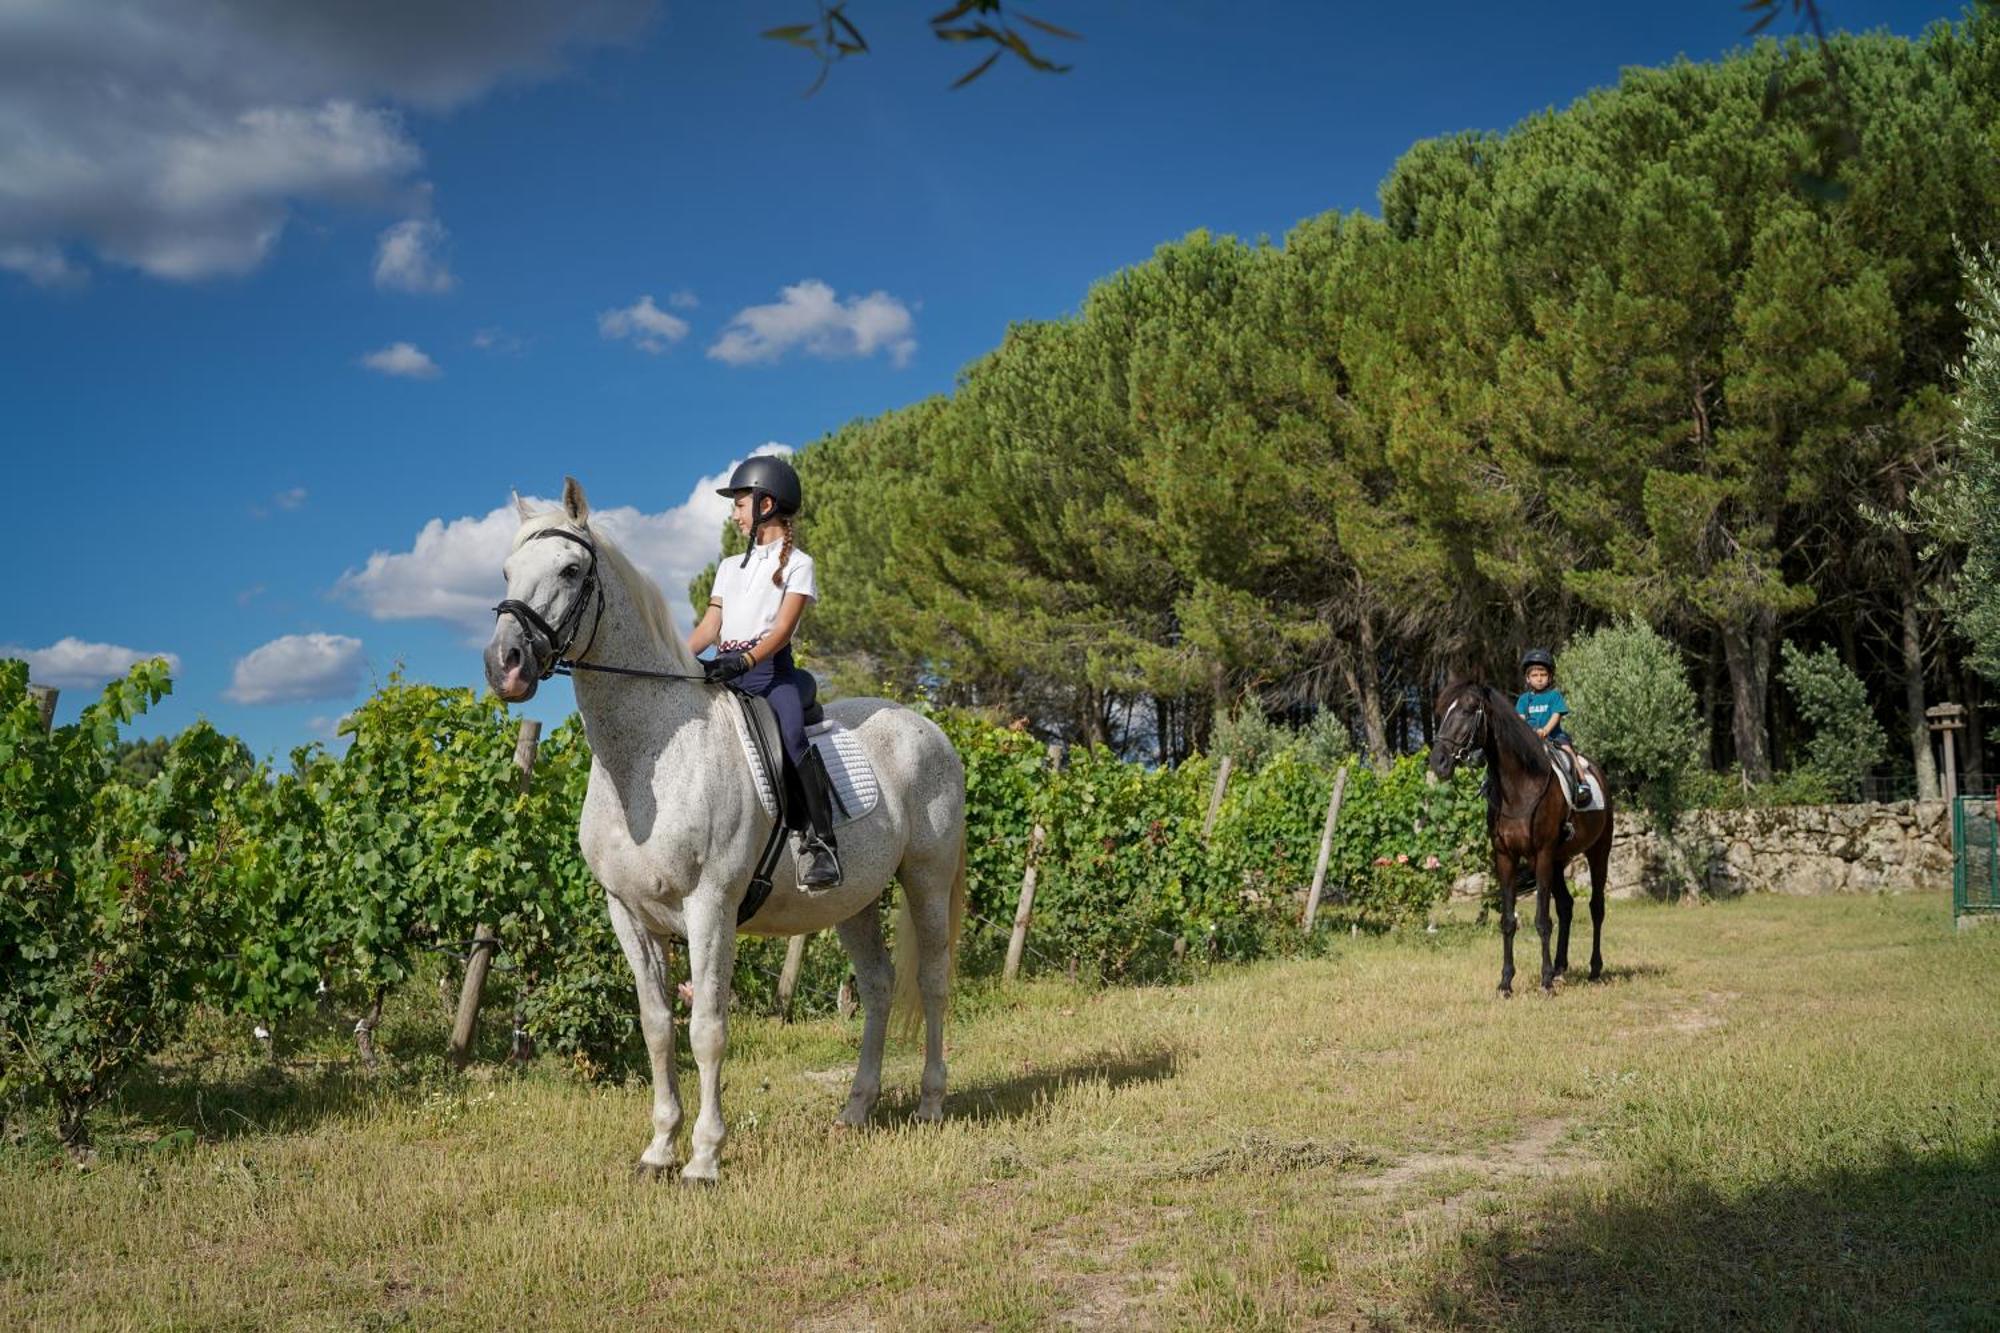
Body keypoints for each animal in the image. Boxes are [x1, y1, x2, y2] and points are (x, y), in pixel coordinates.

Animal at [476, 480, 960, 1184]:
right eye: (508, 572)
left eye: (569, 571)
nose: (504, 666)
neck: (649, 759)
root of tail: (925, 726)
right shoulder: (629, 913)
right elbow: (656, 1026)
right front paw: (658, 1150)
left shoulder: (710, 907)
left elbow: (707, 1028)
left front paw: (704, 1158)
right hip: (855, 899)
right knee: (876, 986)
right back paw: (856, 1109)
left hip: (926, 876)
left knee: (931, 980)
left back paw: (929, 1103)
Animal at [1432, 680, 1616, 992]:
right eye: (1444, 710)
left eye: (1468, 710)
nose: (1438, 762)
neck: (1520, 786)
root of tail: (1599, 774)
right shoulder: (1506, 856)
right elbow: (1508, 921)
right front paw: (1506, 982)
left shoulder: (1541, 854)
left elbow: (1542, 920)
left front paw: (1545, 982)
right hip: (1558, 861)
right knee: (1566, 907)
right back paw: (1560, 968)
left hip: (1597, 852)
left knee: (1596, 907)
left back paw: (1593, 969)